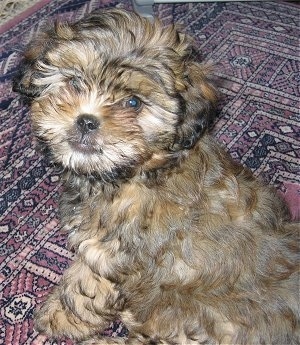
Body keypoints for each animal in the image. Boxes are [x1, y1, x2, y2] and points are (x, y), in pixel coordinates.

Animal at [14, 8, 300, 344]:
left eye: (133, 102)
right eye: (73, 81)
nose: (86, 121)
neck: (141, 171)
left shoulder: (109, 254)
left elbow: (84, 285)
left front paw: (59, 317)